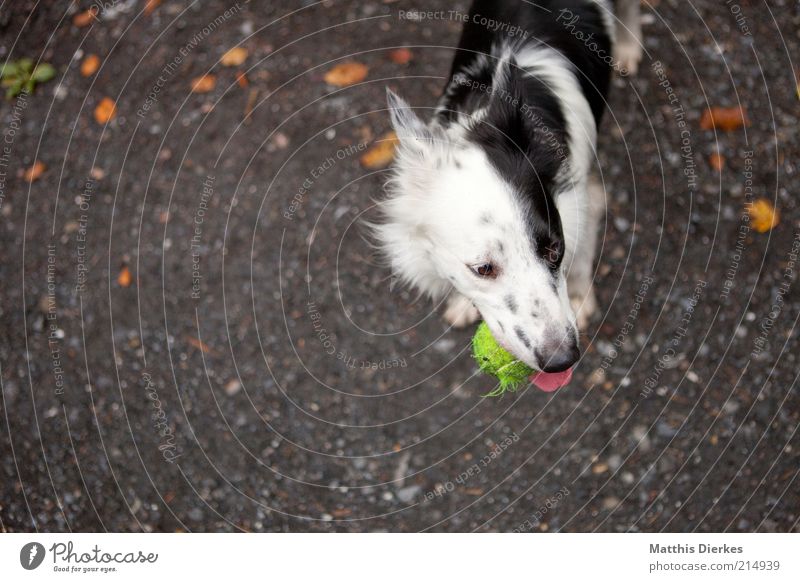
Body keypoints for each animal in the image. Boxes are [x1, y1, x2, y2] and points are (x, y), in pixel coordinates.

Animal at [376, 0, 644, 378]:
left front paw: (580, 295)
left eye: (554, 249)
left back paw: (629, 45)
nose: (562, 360)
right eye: (483, 269)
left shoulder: (583, 190)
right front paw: (462, 303)